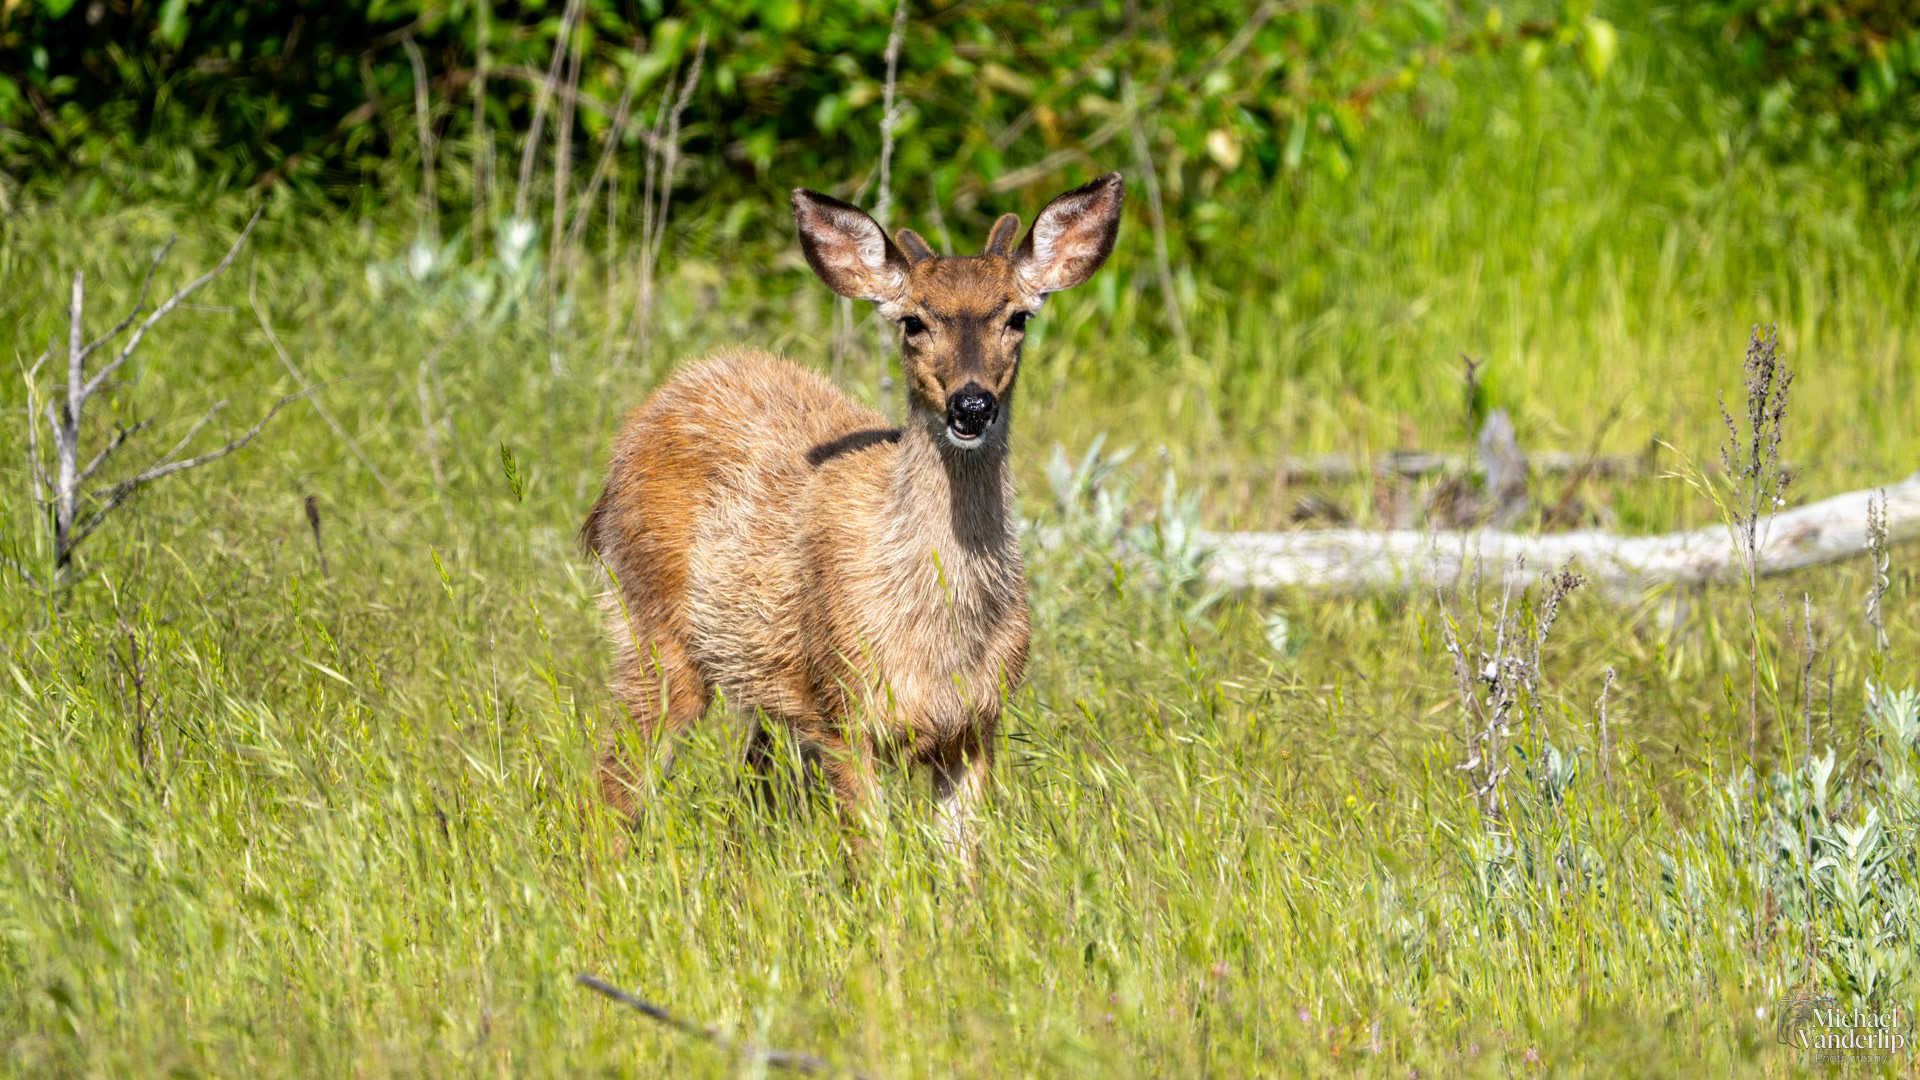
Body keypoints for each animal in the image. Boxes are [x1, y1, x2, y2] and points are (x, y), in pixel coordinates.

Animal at [581, 172, 1124, 867]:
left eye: (1018, 316)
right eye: (914, 320)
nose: (972, 404)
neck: (934, 637)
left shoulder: (978, 723)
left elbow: (963, 865)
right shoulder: (843, 708)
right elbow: (873, 860)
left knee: (746, 789)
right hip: (653, 625)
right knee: (616, 780)